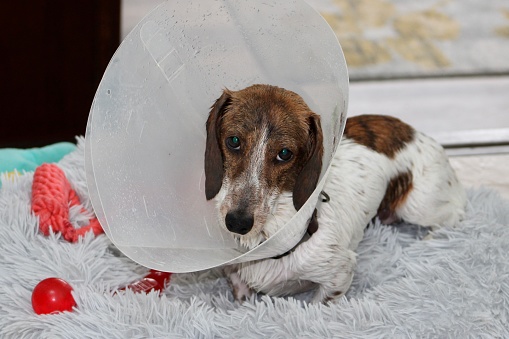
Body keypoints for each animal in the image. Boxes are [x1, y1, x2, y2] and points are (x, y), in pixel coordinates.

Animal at [204, 83, 466, 304]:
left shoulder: (338, 276)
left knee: (454, 214)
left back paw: (430, 242)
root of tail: (413, 131)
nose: (237, 222)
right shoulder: (235, 276)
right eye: (233, 140)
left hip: (418, 205)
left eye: (285, 153)